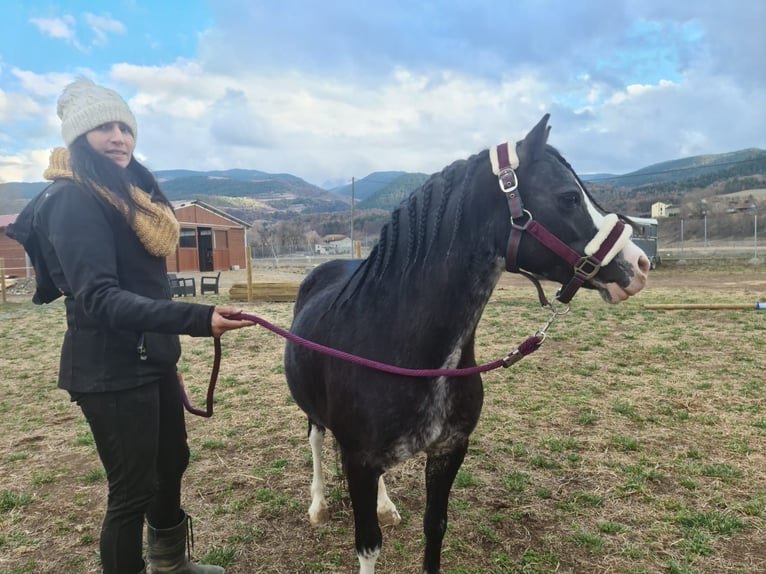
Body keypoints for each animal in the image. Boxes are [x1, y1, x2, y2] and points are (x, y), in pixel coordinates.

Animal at [284, 115, 652, 572]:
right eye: (568, 198)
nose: (640, 265)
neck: (400, 347)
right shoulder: (359, 460)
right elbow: (368, 544)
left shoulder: (448, 451)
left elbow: (435, 527)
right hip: (314, 414)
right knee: (316, 440)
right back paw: (317, 506)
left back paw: (386, 506)